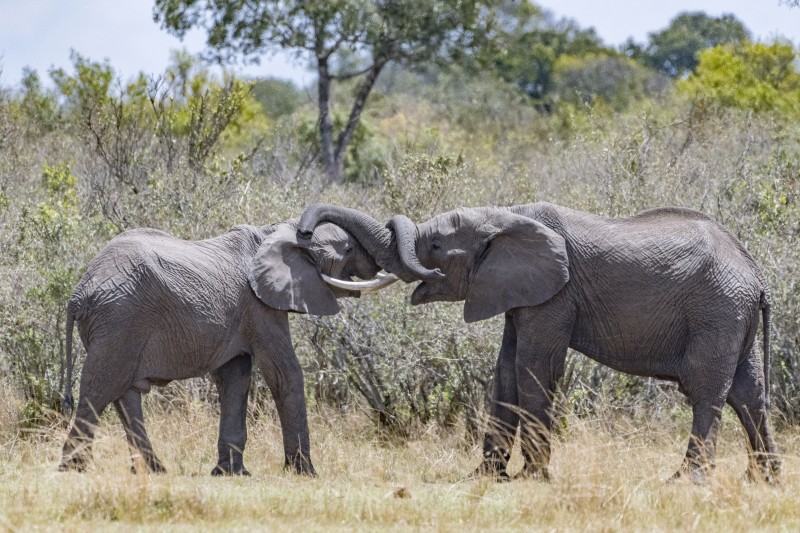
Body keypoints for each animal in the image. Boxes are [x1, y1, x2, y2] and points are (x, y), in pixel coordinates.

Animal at [58, 218, 396, 476]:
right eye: (348, 249)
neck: (276, 230)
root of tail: (77, 294)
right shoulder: (260, 306)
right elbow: (283, 373)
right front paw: (306, 474)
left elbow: (235, 378)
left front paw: (230, 473)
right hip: (120, 319)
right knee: (99, 389)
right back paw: (74, 470)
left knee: (124, 395)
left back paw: (154, 471)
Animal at [296, 201, 780, 482]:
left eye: (434, 246)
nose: (303, 234)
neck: (505, 214)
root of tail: (757, 277)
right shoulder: (516, 291)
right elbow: (505, 372)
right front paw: (486, 478)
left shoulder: (554, 295)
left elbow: (534, 367)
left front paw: (533, 477)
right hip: (732, 314)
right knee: (748, 392)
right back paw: (764, 480)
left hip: (716, 310)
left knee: (706, 390)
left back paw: (687, 481)